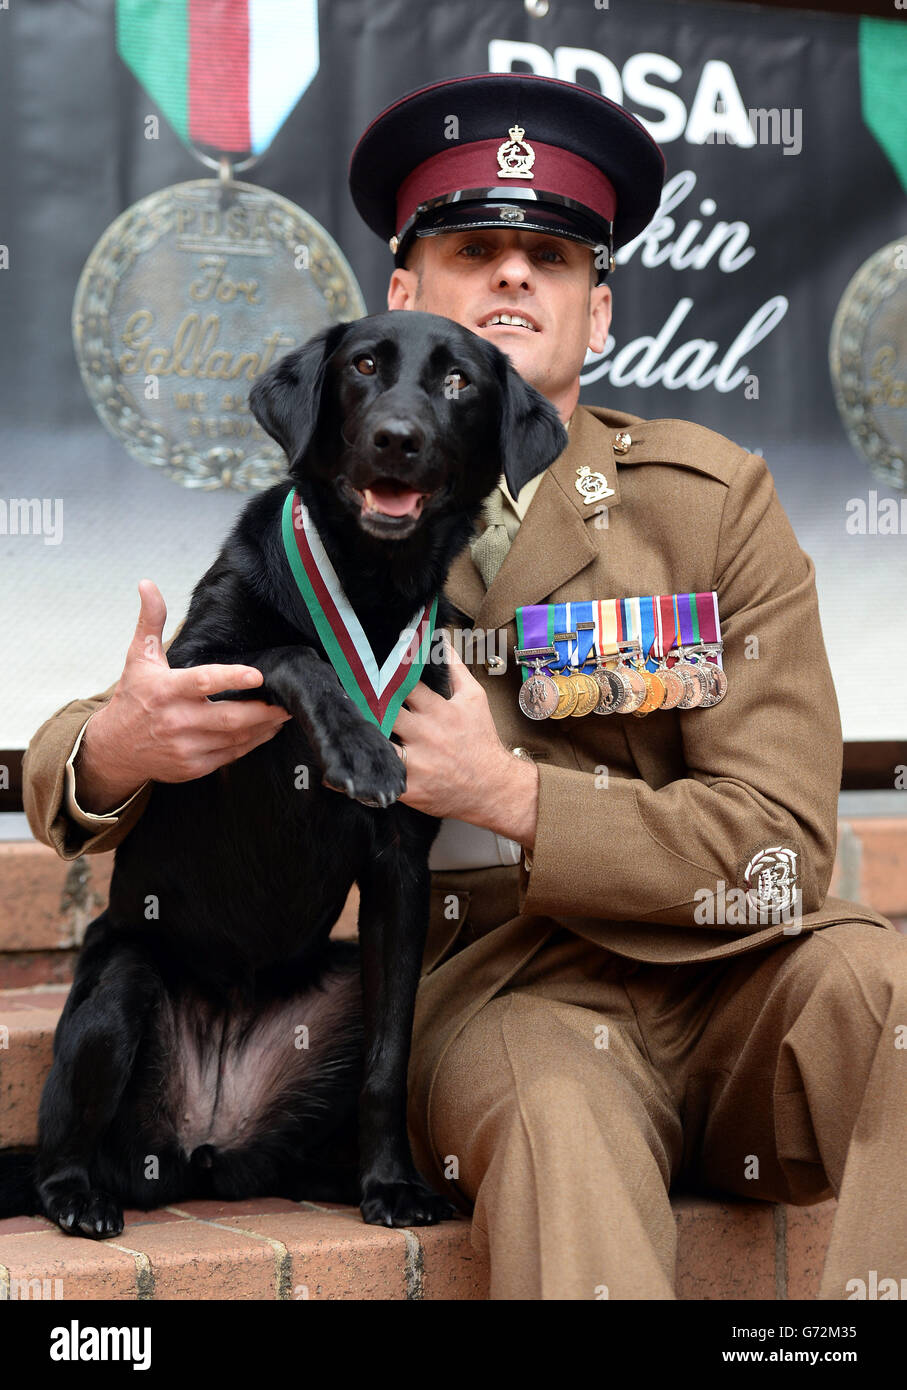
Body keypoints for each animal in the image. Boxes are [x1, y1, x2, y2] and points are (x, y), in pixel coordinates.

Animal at [5, 309, 566, 1234]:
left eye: (459, 382)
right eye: (363, 366)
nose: (397, 438)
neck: (373, 584)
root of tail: (204, 1149)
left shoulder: (400, 876)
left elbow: (387, 1064)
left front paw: (391, 1186)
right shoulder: (190, 674)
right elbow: (291, 652)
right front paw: (359, 748)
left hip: (346, 985)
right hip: (120, 985)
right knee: (63, 1144)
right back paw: (78, 1196)